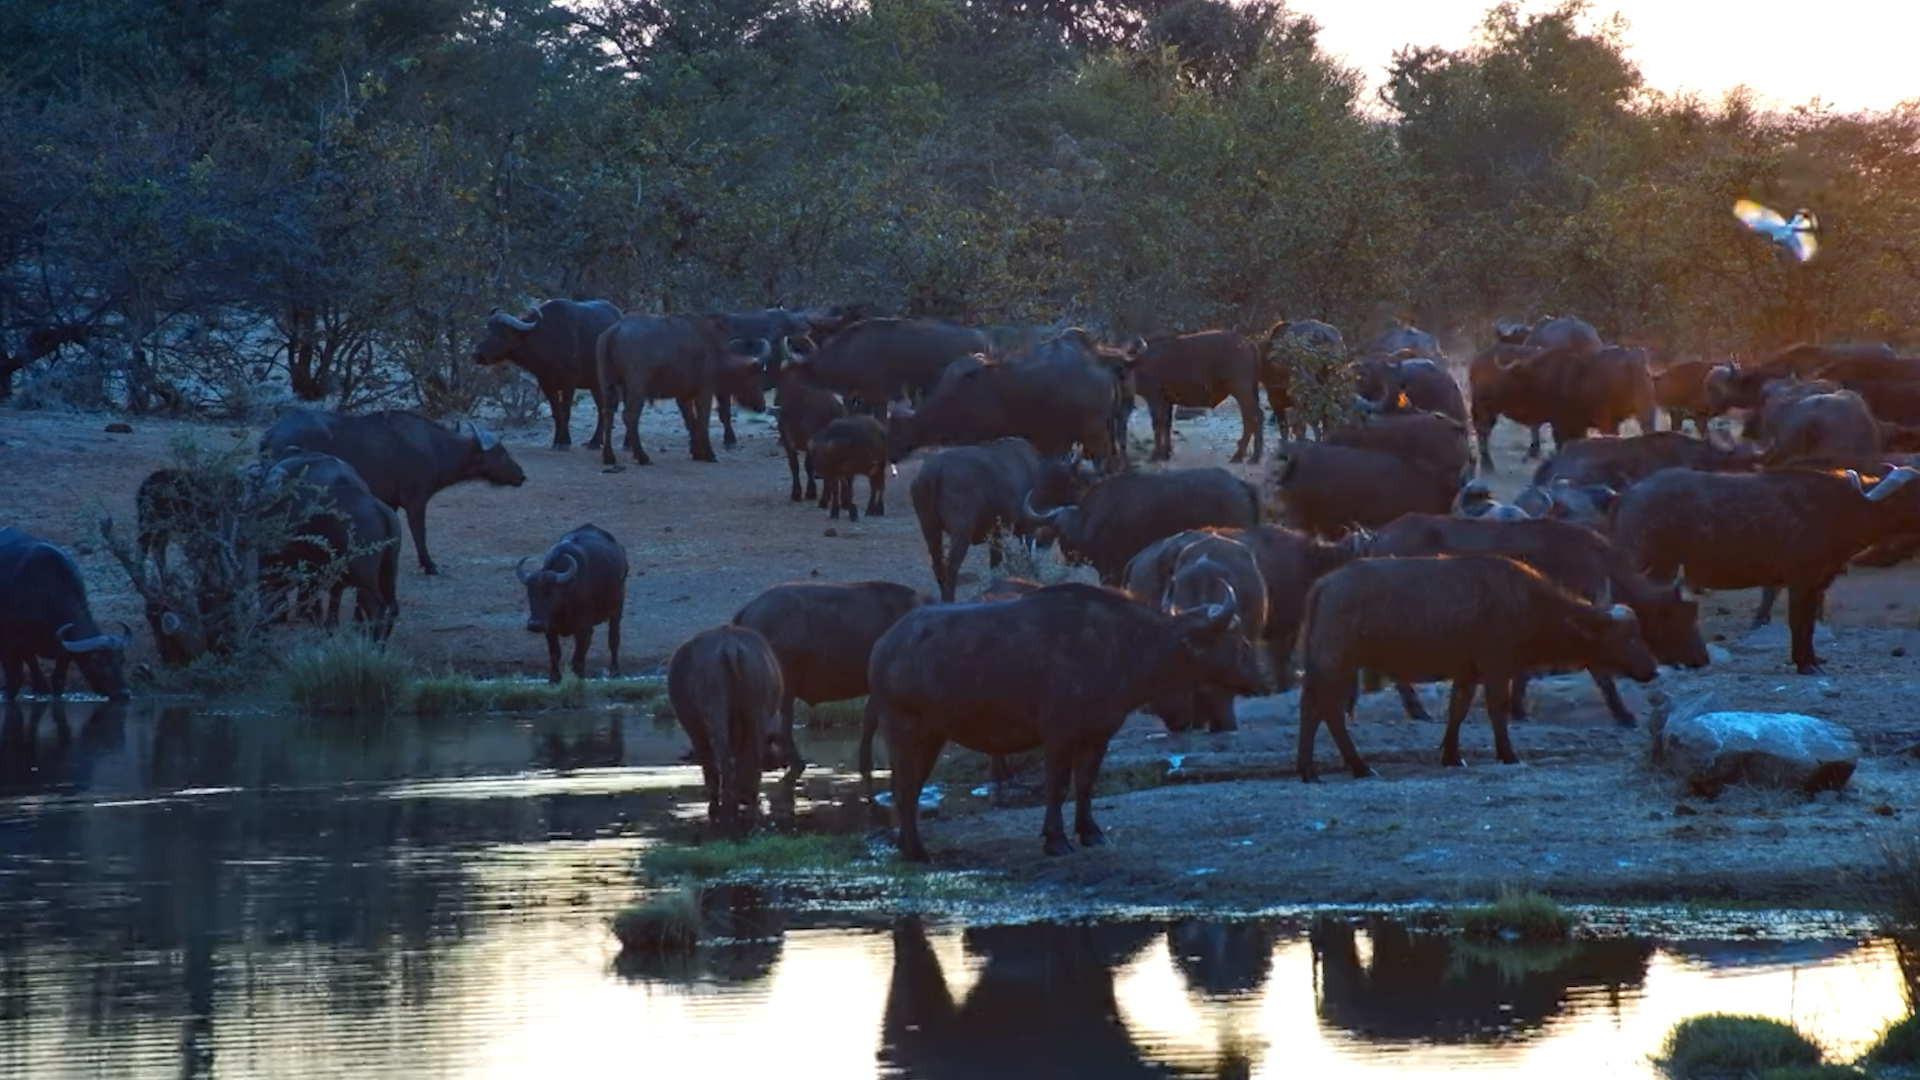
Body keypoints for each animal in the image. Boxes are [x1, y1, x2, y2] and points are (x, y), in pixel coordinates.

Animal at [260, 408, 526, 576]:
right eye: (501, 453)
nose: (522, 475)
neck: (434, 448)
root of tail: (271, 433)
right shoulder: (415, 500)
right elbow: (419, 533)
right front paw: (430, 565)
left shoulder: (393, 503)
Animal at [470, 299, 623, 450]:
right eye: (488, 331)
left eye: (501, 334)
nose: (476, 354)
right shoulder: (546, 384)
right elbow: (556, 412)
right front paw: (557, 441)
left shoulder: (569, 383)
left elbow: (565, 411)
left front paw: (564, 442)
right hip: (594, 384)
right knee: (602, 408)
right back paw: (596, 441)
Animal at [517, 524, 629, 684]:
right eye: (530, 593)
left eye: (551, 593)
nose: (535, 624)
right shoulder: (550, 628)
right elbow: (555, 653)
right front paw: (554, 678)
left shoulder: (583, 629)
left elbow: (578, 658)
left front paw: (578, 678)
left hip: (617, 609)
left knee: (613, 640)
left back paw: (615, 672)